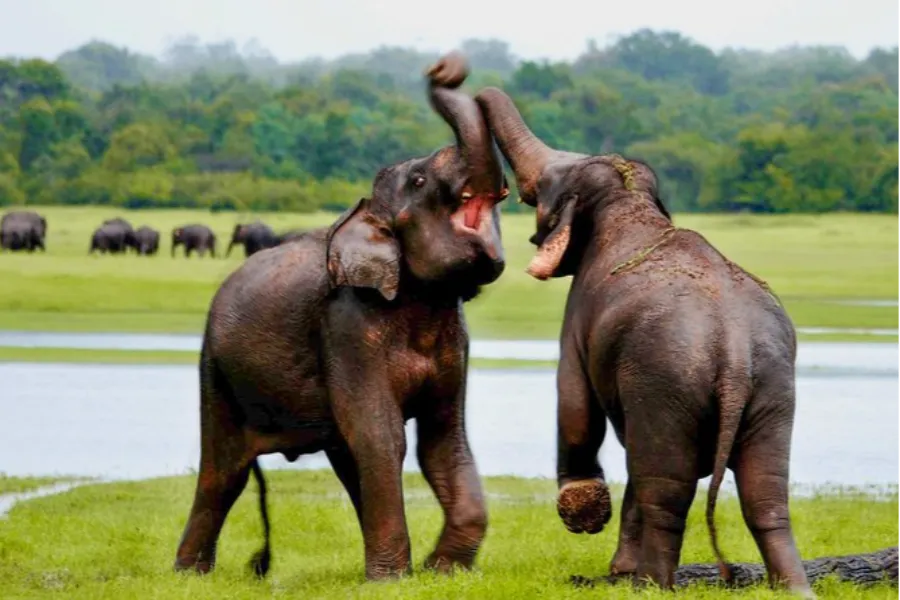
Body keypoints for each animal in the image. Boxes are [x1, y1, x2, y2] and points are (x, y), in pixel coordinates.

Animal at [173, 52, 510, 583]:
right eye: (418, 181)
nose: (443, 66)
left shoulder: (456, 338)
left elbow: (443, 440)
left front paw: (441, 570)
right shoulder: (348, 325)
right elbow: (381, 434)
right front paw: (394, 580)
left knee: (343, 458)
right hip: (214, 368)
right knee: (223, 470)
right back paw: (189, 575)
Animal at [475, 86, 813, 597]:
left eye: (544, 187)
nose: (444, 74)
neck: (630, 199)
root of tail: (734, 351)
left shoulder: (578, 316)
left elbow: (574, 404)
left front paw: (587, 519)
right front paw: (617, 568)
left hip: (666, 381)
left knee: (666, 486)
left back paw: (652, 584)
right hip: (773, 387)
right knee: (765, 492)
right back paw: (793, 588)